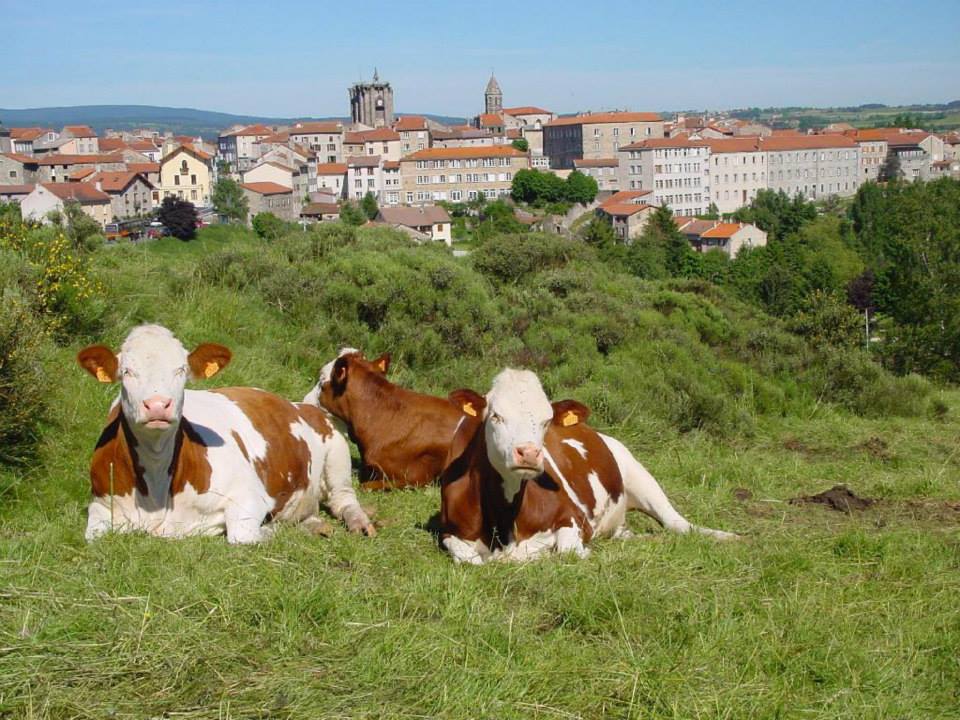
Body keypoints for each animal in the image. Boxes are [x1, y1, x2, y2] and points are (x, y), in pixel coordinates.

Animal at [77, 324, 376, 544]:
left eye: (181, 370)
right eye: (127, 372)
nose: (158, 405)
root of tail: (301, 404)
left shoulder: (249, 495)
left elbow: (241, 535)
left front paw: (272, 529)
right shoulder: (100, 507)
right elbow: (93, 536)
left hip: (337, 456)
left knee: (343, 499)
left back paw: (360, 523)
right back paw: (313, 525)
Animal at [440, 368, 736, 564]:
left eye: (547, 420)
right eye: (496, 416)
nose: (530, 453)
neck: (505, 518)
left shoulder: (574, 517)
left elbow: (567, 551)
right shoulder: (449, 531)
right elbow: (469, 558)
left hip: (641, 477)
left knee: (678, 524)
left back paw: (727, 536)